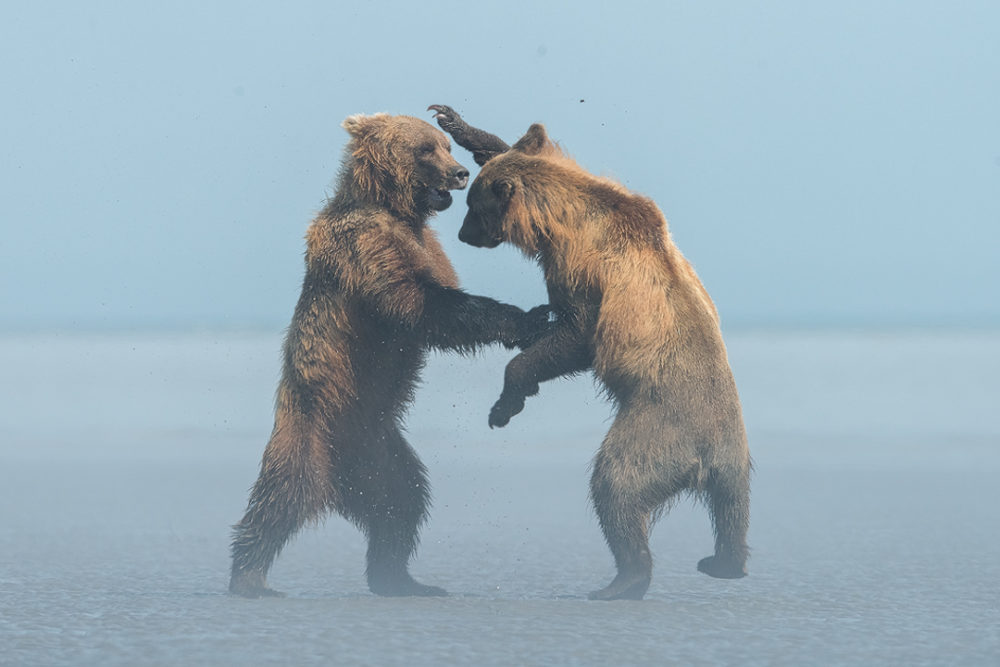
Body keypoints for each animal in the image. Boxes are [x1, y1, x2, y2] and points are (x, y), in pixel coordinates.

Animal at [229, 112, 548, 596]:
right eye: (425, 149)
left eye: (445, 145)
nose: (460, 173)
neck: (395, 209)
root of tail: (341, 485)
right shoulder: (367, 249)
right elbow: (426, 307)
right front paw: (530, 317)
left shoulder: (425, 246)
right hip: (310, 434)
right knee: (281, 499)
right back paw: (249, 575)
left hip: (381, 450)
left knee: (403, 501)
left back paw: (401, 579)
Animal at [430, 107, 752, 604]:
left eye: (473, 209)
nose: (464, 235)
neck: (563, 217)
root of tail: (707, 461)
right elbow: (515, 143)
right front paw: (454, 121)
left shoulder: (583, 269)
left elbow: (577, 336)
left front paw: (506, 402)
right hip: (736, 459)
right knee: (733, 512)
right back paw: (723, 564)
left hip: (658, 429)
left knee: (616, 485)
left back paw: (623, 581)